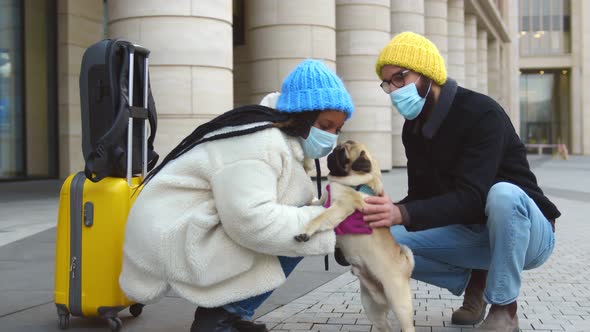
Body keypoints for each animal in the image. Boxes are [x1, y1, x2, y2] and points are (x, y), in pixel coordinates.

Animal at [296, 141, 416, 332]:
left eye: (343, 154)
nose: (331, 154)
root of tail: (405, 264)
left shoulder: (339, 207)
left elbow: (320, 217)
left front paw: (306, 230)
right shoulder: (323, 201)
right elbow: (315, 203)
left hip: (400, 303)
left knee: (407, 325)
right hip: (371, 306)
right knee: (385, 326)